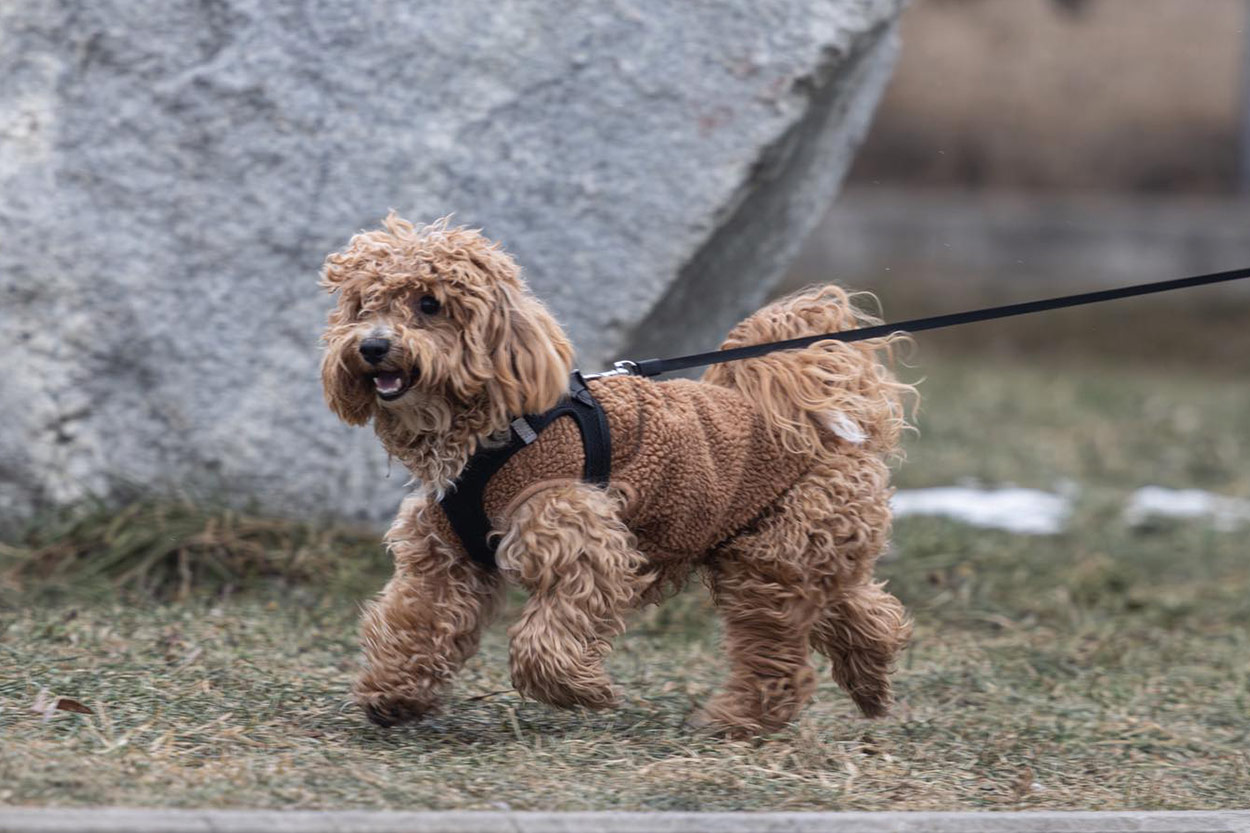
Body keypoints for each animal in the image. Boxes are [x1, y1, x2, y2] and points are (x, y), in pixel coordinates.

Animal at [320, 214, 915, 737]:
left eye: (429, 304)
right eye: (363, 304)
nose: (372, 346)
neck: (495, 431)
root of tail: (822, 423)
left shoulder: (580, 542)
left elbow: (543, 640)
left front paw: (582, 691)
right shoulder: (444, 556)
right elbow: (416, 621)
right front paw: (393, 693)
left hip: (769, 562)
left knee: (779, 659)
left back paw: (737, 720)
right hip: (783, 550)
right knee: (859, 609)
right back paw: (872, 676)